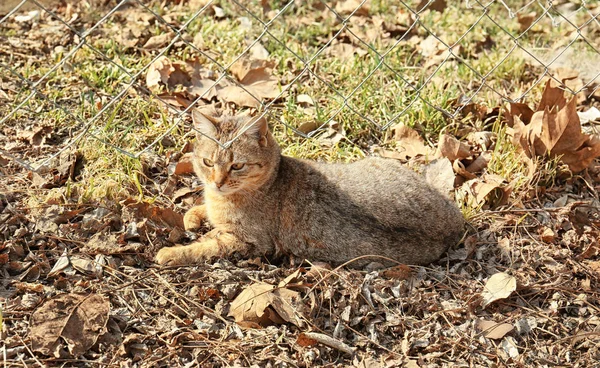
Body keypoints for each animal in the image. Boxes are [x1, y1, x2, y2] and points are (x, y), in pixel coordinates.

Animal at [155, 109, 464, 268]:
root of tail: (454, 220)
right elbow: (201, 210)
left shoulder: (251, 241)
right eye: (208, 162)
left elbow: (206, 246)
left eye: (237, 166)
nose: (217, 182)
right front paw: (193, 216)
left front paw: (172, 253)